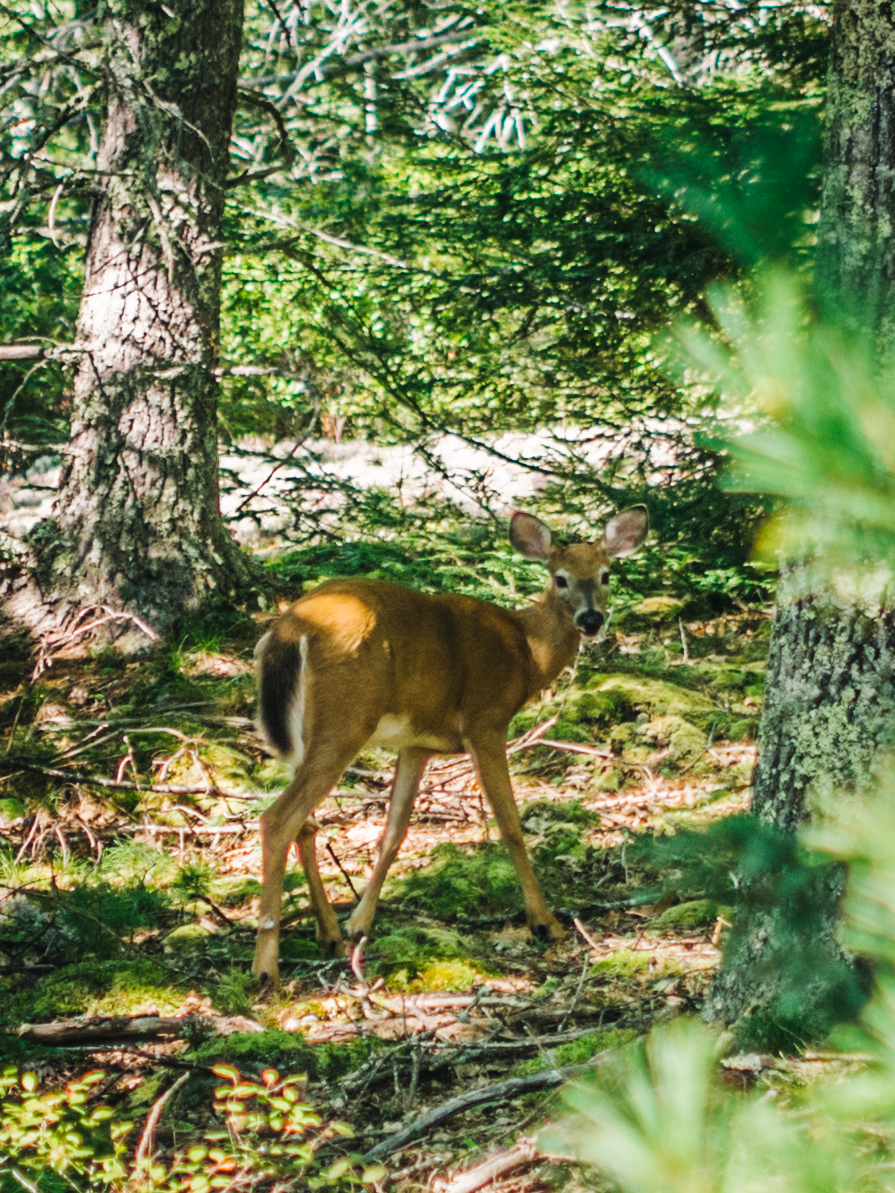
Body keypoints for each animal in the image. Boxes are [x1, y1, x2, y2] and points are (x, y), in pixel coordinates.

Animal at [252, 503, 653, 978]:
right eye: (560, 578)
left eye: (606, 574)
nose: (590, 620)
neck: (526, 650)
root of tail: (289, 631)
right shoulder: (486, 720)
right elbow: (511, 825)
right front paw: (544, 922)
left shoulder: (417, 743)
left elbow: (394, 832)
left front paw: (359, 924)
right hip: (346, 718)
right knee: (279, 818)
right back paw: (266, 965)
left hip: (306, 735)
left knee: (305, 823)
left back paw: (328, 933)